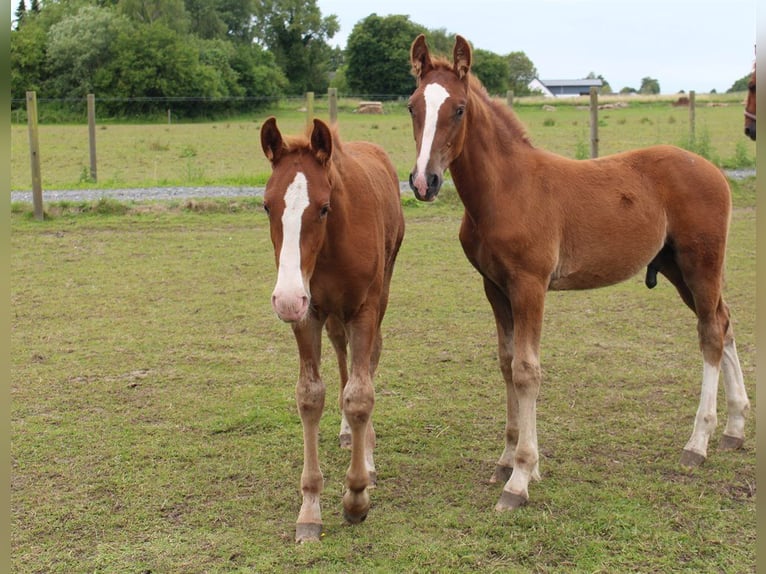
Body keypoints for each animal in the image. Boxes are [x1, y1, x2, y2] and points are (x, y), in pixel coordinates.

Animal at [262, 118, 408, 544]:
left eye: (324, 207)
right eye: (266, 205)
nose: (285, 299)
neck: (331, 249)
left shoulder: (364, 309)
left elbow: (360, 396)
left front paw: (356, 497)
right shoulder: (308, 313)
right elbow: (311, 396)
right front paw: (309, 509)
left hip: (380, 293)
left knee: (369, 360)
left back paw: (367, 453)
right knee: (342, 354)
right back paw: (347, 433)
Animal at [408, 35, 752, 512]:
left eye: (458, 108)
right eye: (412, 107)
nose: (425, 182)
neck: (506, 189)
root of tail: (713, 170)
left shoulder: (530, 285)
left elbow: (527, 370)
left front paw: (521, 478)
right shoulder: (494, 287)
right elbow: (506, 364)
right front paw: (506, 461)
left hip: (701, 263)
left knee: (711, 334)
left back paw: (697, 444)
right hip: (677, 268)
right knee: (724, 321)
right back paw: (734, 430)